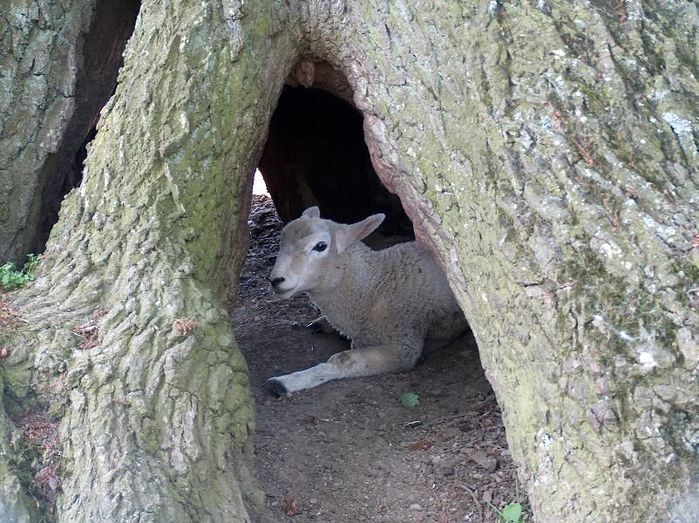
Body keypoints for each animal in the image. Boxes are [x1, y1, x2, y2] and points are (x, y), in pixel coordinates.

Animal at [266, 207, 468, 396]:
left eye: (320, 246)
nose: (275, 280)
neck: (376, 287)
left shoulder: (404, 348)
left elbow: (343, 359)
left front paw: (288, 381)